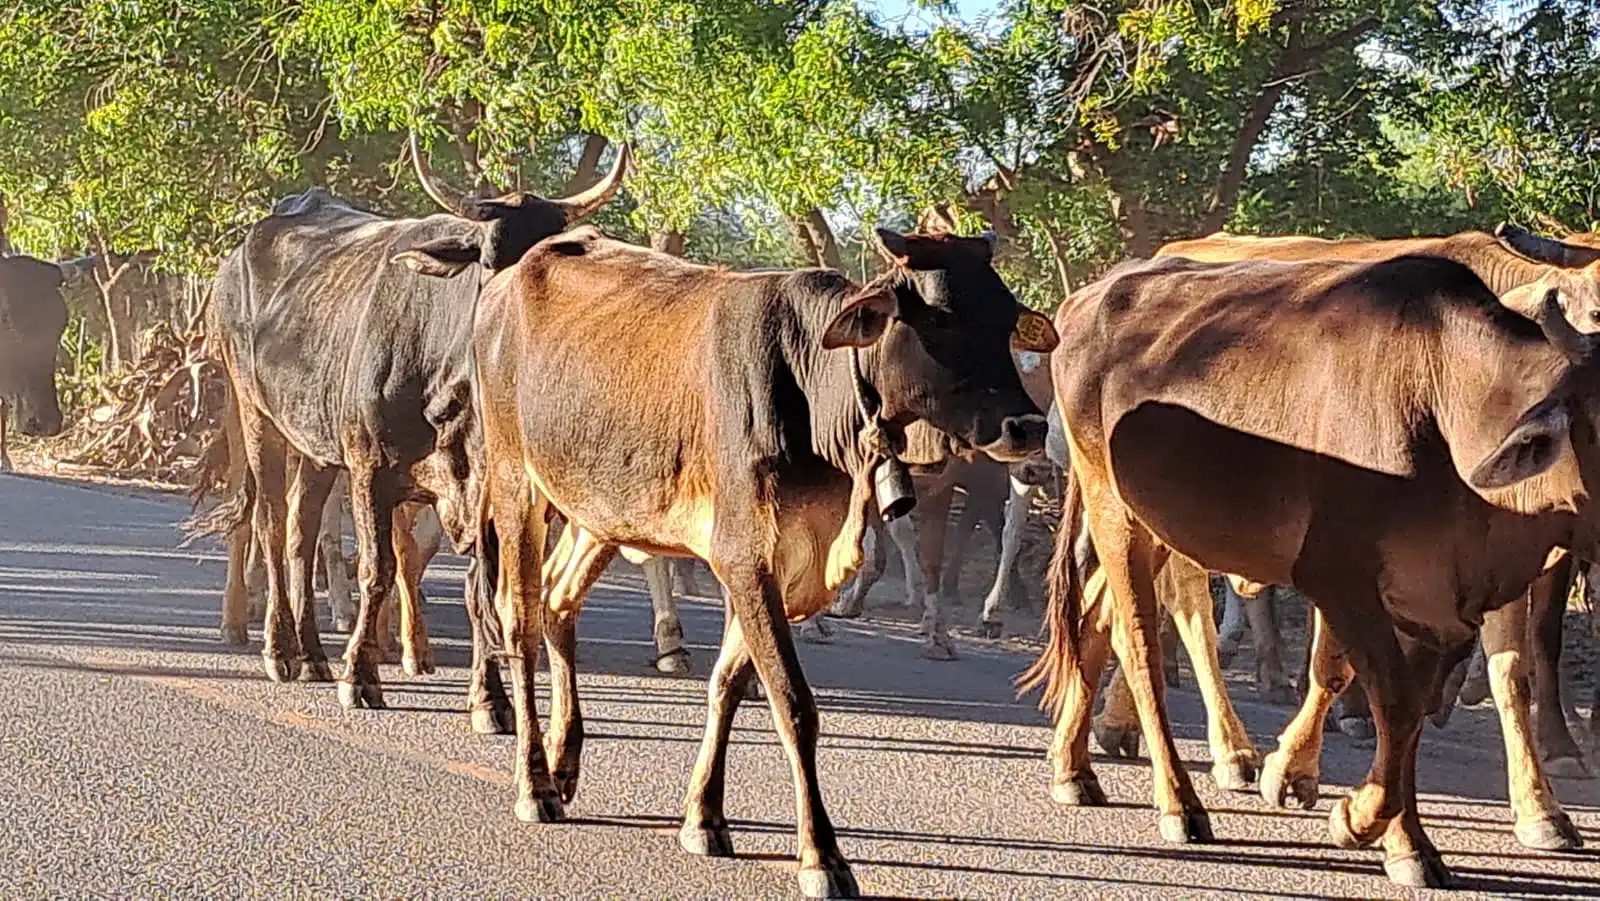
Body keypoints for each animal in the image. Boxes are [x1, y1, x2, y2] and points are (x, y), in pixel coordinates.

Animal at [192, 137, 624, 729]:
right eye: (489, 262)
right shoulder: (370, 469)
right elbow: (377, 569)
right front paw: (361, 677)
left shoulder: (485, 492)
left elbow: (480, 591)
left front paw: (490, 699)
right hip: (257, 416)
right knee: (271, 525)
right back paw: (280, 649)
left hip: (317, 447)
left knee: (302, 530)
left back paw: (313, 654)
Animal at [406, 224, 1056, 896]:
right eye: (943, 321)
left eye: (1006, 320)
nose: (1029, 427)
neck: (813, 391)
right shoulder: (746, 558)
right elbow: (793, 703)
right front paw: (822, 856)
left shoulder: (781, 570)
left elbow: (729, 684)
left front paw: (704, 818)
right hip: (516, 484)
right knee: (521, 621)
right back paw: (535, 784)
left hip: (600, 510)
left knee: (560, 604)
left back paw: (564, 766)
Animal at [1024, 254, 1600, 889]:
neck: (1449, 405)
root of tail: (1090, 297)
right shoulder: (1340, 581)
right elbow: (1391, 702)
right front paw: (1357, 818)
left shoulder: (1437, 608)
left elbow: (1411, 718)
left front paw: (1408, 844)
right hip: (1114, 510)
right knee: (1139, 641)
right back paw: (1180, 801)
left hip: (1150, 528)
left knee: (1095, 620)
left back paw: (1073, 769)